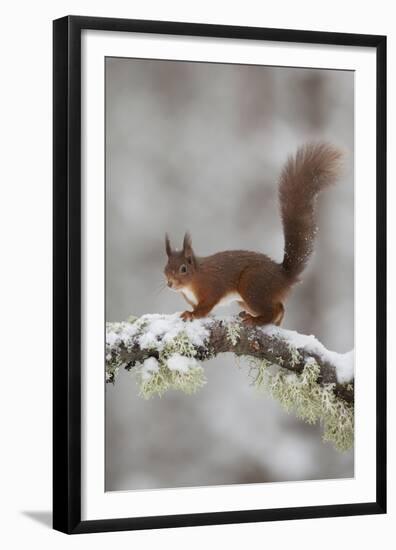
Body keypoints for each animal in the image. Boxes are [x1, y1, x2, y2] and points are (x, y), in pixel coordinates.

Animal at [162, 144, 342, 330]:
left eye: (183, 268)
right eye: (165, 268)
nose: (170, 283)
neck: (195, 277)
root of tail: (283, 277)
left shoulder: (212, 287)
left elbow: (205, 306)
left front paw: (192, 314)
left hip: (252, 285)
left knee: (274, 309)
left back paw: (257, 320)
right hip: (247, 298)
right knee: (280, 307)